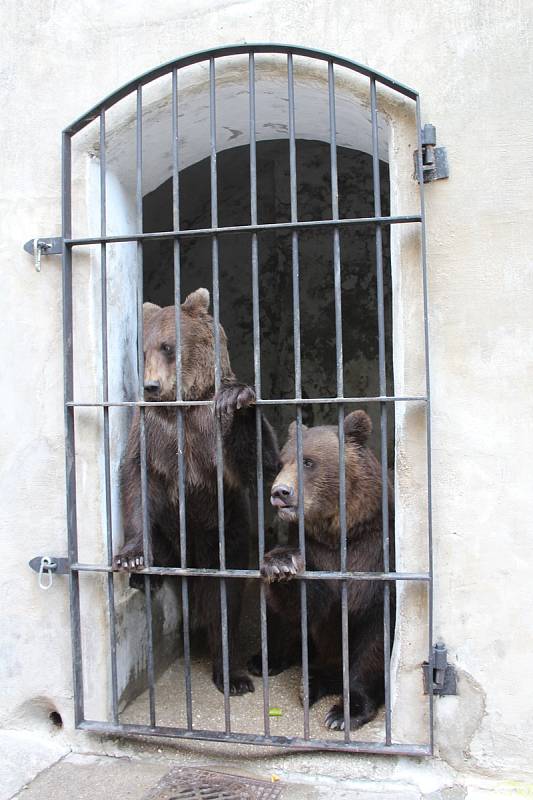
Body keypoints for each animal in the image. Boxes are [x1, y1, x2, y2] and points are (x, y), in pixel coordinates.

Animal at [112, 290, 278, 692]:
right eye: (144, 350)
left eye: (168, 346)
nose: (151, 386)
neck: (183, 407)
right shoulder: (152, 432)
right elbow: (135, 479)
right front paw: (132, 558)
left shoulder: (209, 433)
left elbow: (260, 461)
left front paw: (239, 399)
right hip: (170, 532)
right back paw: (146, 575)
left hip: (228, 534)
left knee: (225, 600)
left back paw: (231, 675)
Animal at [251, 412, 392, 732]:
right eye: (281, 463)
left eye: (308, 462)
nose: (280, 492)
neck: (340, 532)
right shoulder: (315, 552)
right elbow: (308, 604)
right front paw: (280, 563)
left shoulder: (375, 555)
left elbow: (374, 640)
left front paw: (346, 711)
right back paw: (272, 663)